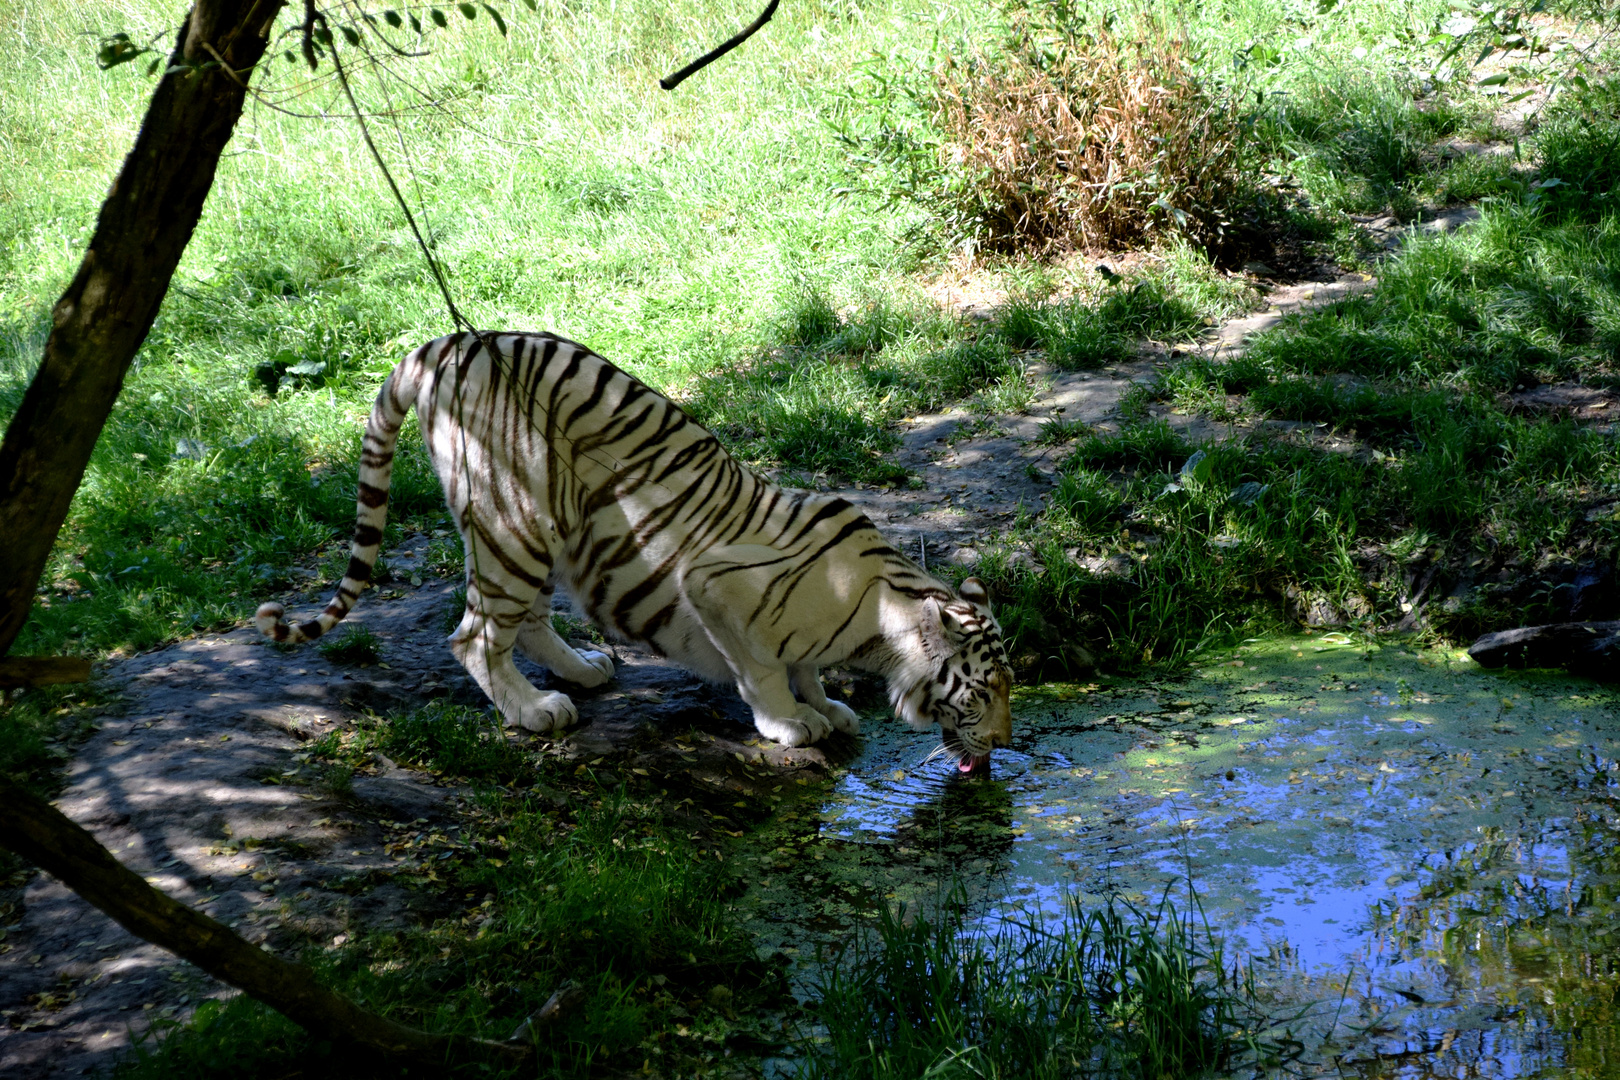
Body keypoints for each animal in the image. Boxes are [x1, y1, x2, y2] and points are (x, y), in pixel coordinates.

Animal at [257, 333, 1004, 764]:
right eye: (982, 692)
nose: (1001, 742)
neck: (878, 618)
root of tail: (441, 345)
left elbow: (805, 666)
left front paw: (824, 706)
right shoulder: (714, 589)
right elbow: (763, 671)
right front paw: (792, 724)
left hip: (536, 527)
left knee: (524, 620)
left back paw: (583, 671)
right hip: (511, 519)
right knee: (474, 635)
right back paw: (534, 711)